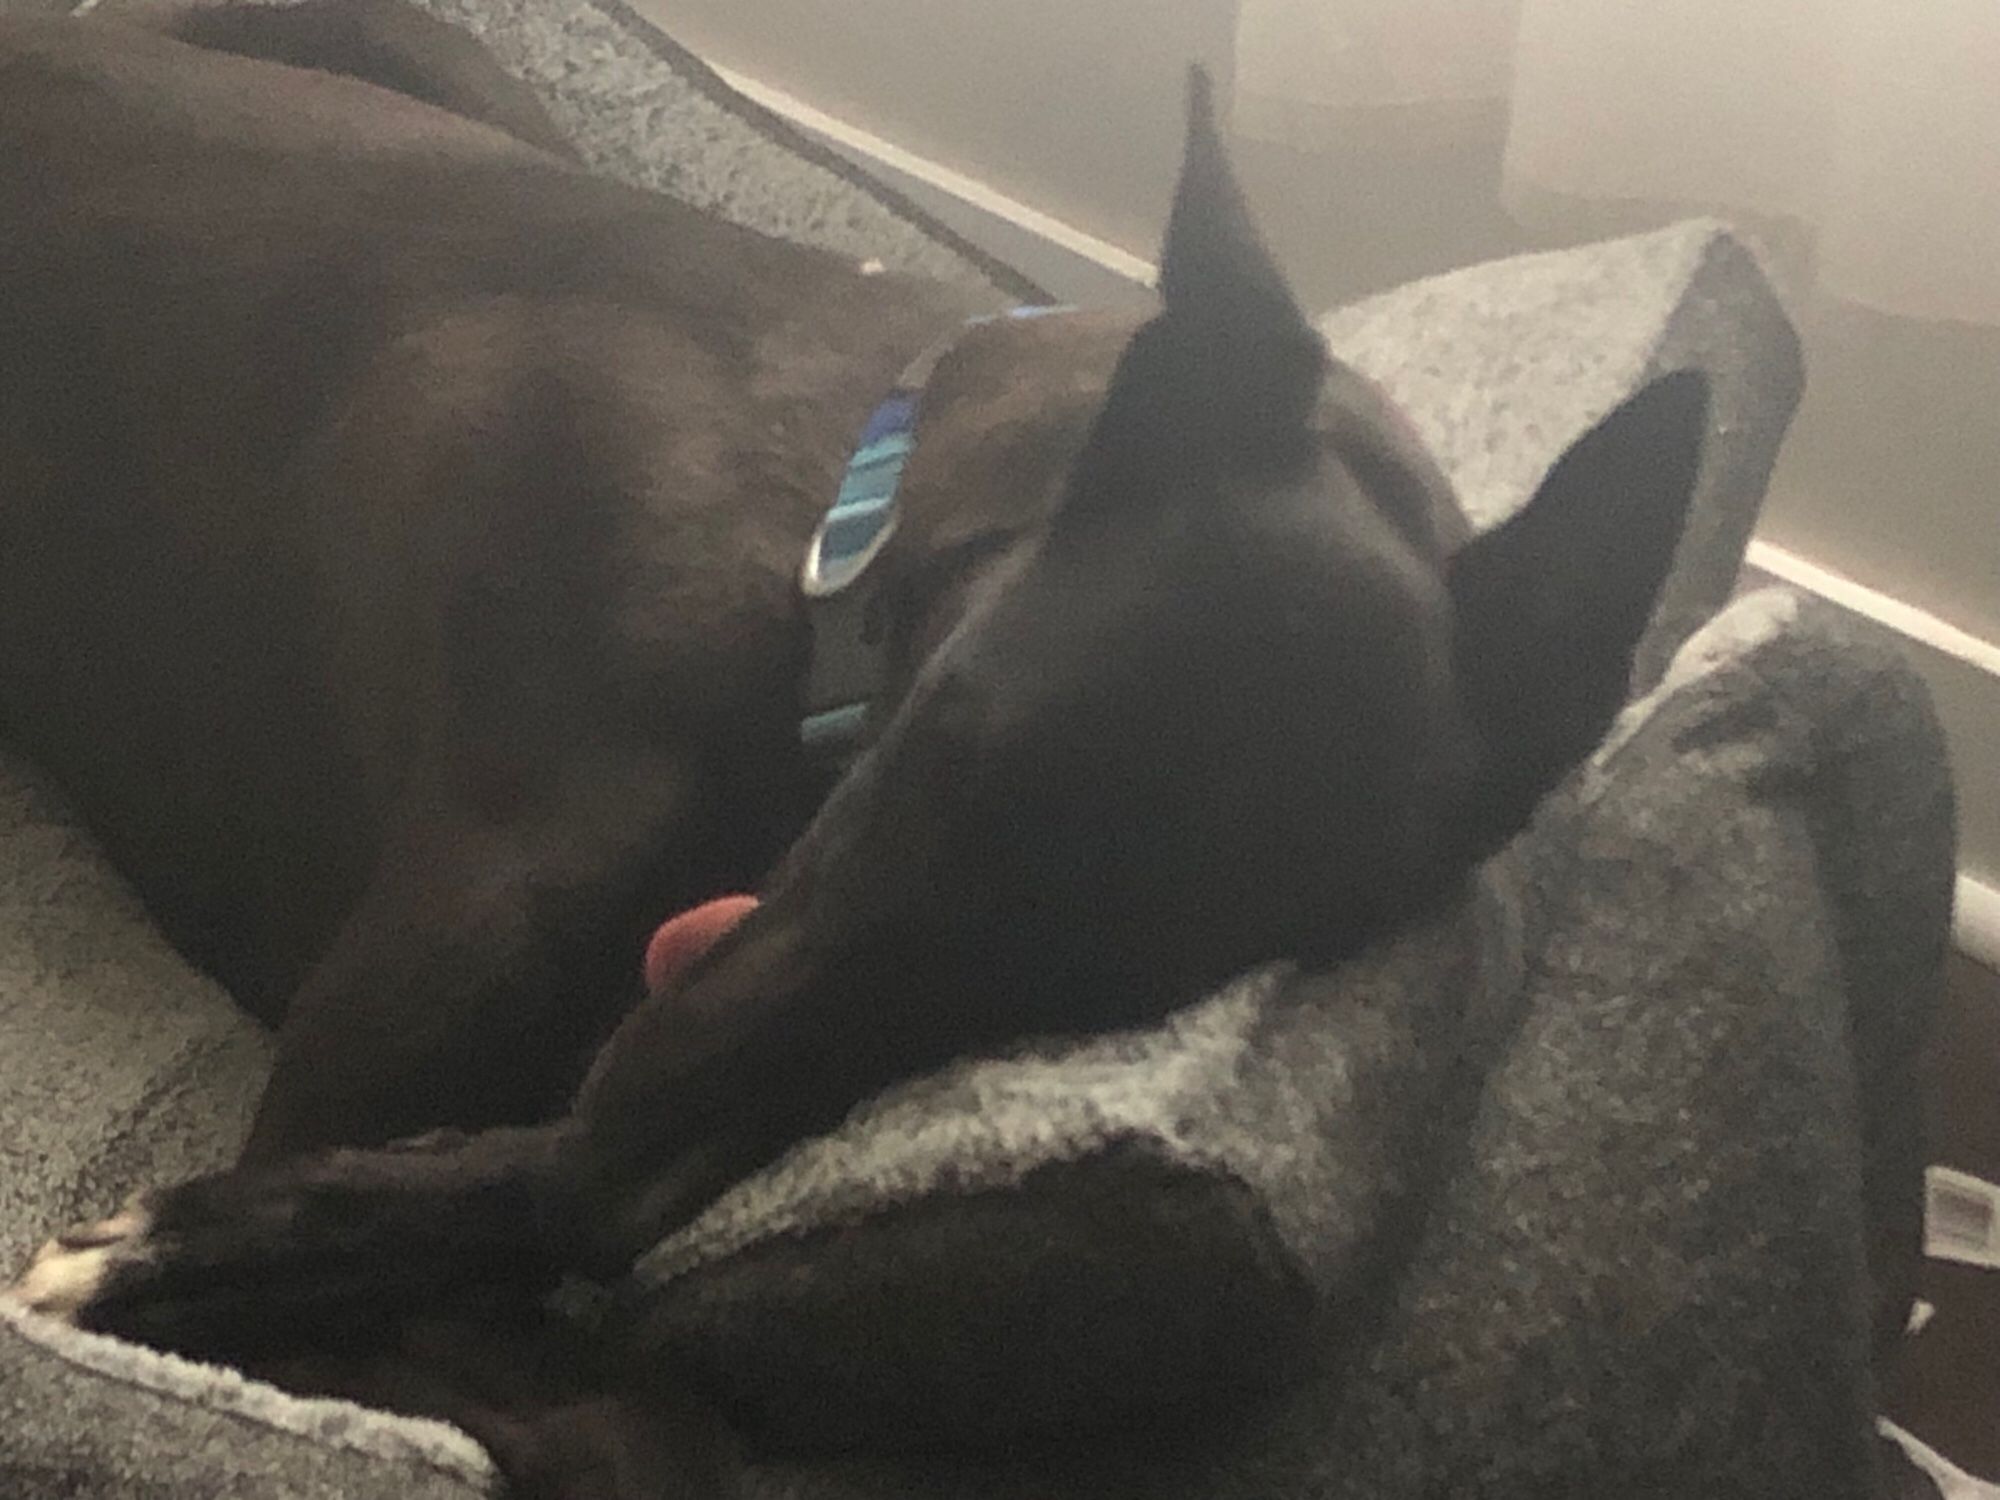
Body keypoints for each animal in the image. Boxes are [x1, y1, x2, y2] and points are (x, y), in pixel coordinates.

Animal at [7, 5, 1712, 1496]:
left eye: (1098, 974)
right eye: (939, 746)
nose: (616, 1184)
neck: (834, 542)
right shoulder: (361, 1082)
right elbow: (632, 1415)